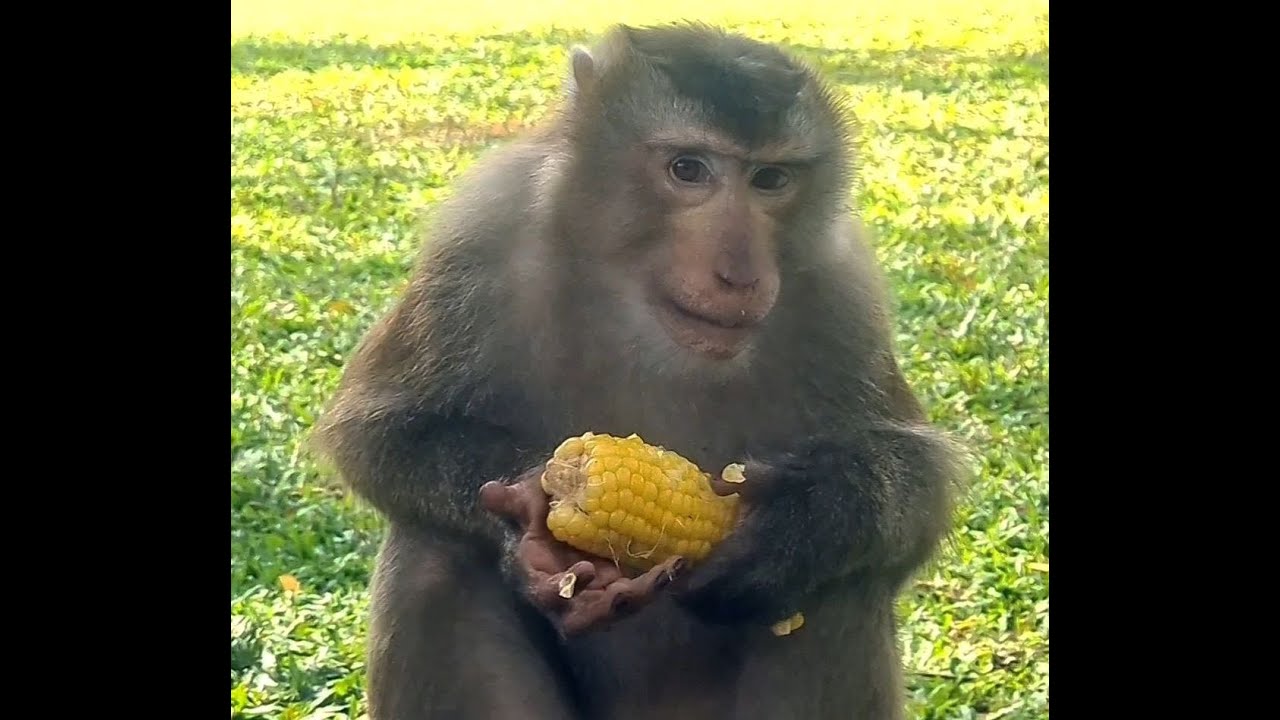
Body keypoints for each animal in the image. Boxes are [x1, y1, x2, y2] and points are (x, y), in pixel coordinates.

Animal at [311, 22, 963, 720]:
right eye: (687, 169)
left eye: (770, 179)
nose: (739, 274)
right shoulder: (479, 241)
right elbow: (379, 431)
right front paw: (529, 524)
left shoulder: (845, 293)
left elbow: (918, 490)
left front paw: (800, 520)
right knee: (434, 558)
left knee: (838, 587)